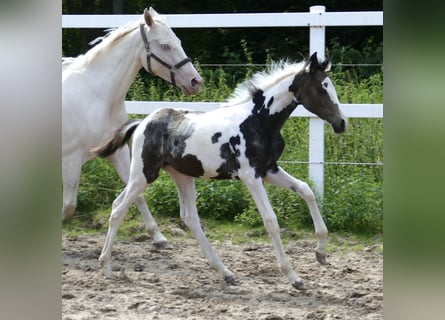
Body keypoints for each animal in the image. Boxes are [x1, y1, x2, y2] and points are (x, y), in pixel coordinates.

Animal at [91, 53, 346, 290]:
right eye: (321, 89)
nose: (342, 123)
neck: (258, 120)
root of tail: (141, 123)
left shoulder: (269, 170)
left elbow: (306, 190)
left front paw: (321, 253)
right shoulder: (251, 176)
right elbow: (270, 220)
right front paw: (293, 277)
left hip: (182, 176)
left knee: (189, 217)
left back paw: (226, 272)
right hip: (143, 174)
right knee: (119, 207)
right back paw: (106, 266)